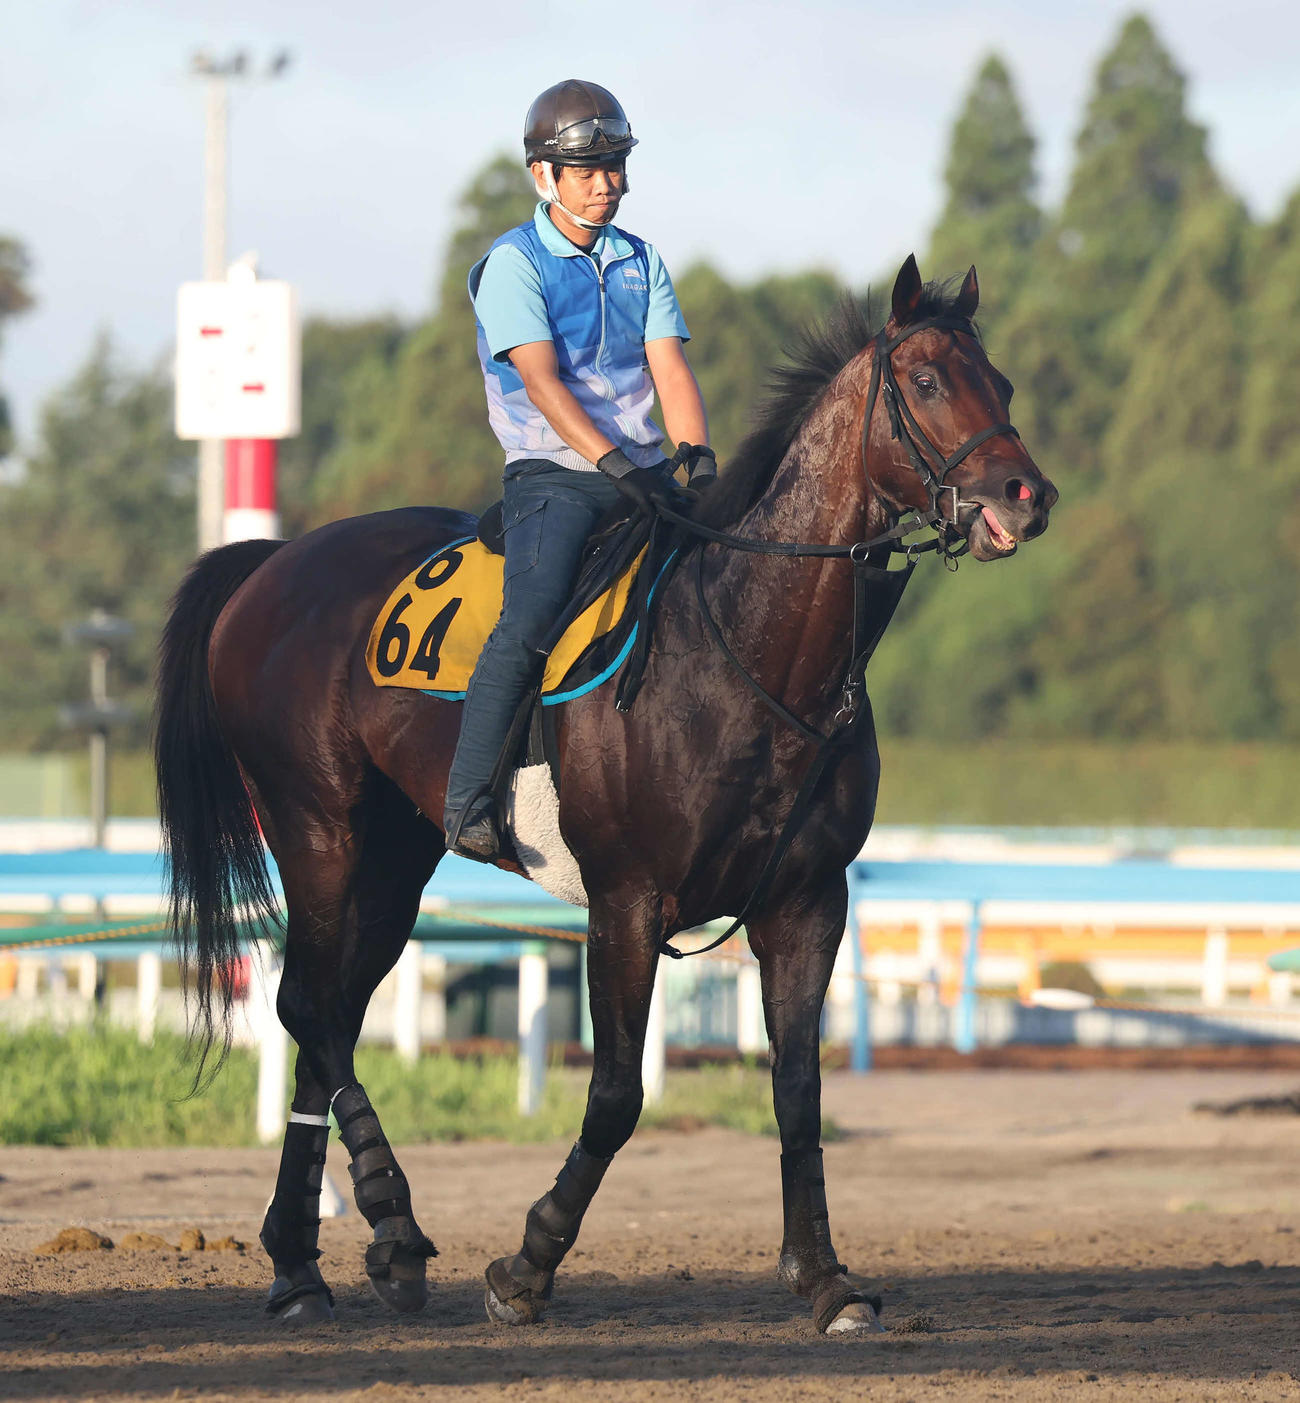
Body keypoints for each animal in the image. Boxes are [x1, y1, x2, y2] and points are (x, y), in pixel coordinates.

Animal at [154, 255, 1057, 1334]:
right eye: (924, 380)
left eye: (1002, 383)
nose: (1027, 493)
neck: (747, 652)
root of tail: (272, 565)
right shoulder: (625, 903)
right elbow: (618, 1093)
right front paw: (528, 1262)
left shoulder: (807, 902)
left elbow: (797, 1087)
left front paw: (824, 1275)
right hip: (317, 828)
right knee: (309, 1007)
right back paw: (392, 1226)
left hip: (393, 862)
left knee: (319, 1016)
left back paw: (304, 1260)